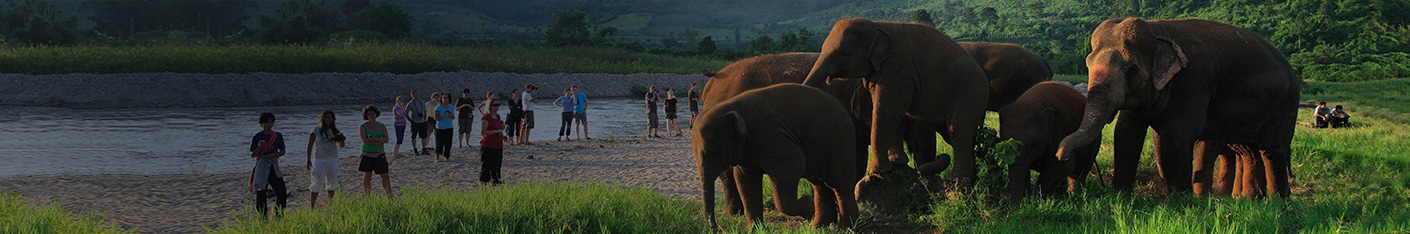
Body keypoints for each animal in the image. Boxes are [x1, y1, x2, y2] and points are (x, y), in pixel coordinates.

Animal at [806, 17, 992, 186]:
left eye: (844, 53)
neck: (876, 24)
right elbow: (893, 113)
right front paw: (896, 163)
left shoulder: (897, 72)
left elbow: (886, 111)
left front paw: (876, 171)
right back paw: (969, 180)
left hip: (971, 92)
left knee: (958, 128)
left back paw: (957, 180)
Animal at [1060, 17, 1297, 197]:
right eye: (1088, 65)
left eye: (1132, 69)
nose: (1061, 156)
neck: (1157, 31)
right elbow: (1126, 133)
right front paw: (1122, 195)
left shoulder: (1193, 82)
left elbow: (1176, 137)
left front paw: (1180, 200)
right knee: (1250, 152)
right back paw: (1250, 200)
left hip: (1286, 103)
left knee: (1272, 150)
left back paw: (1277, 201)